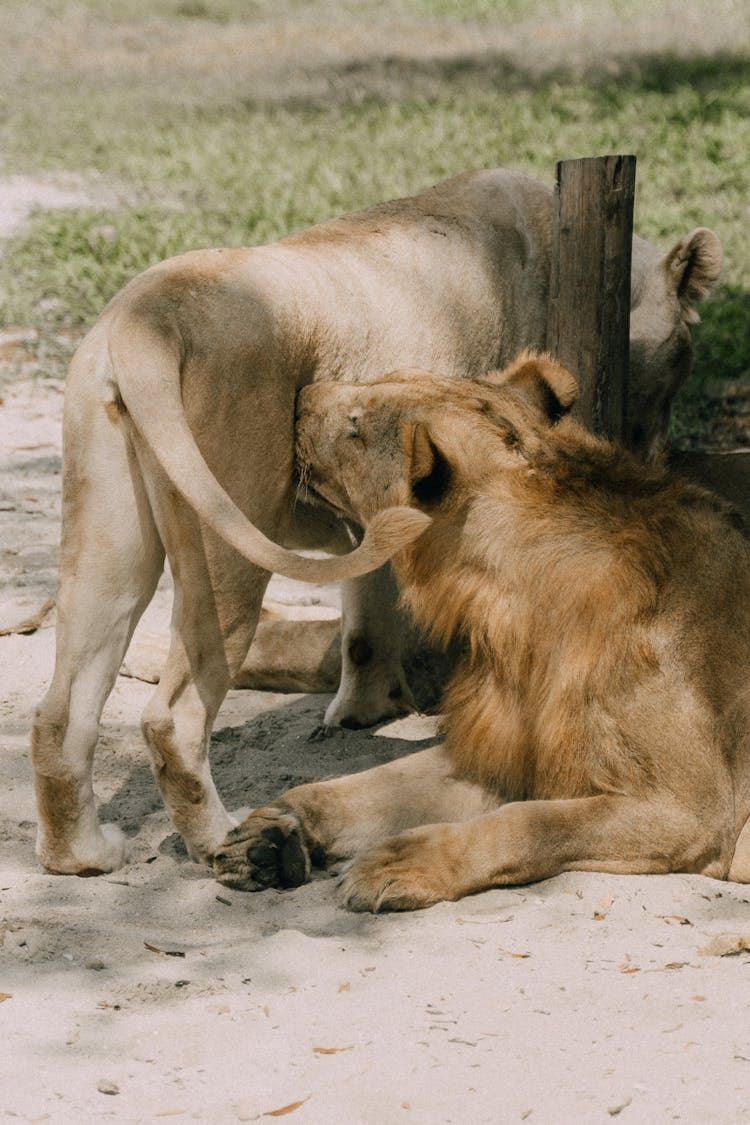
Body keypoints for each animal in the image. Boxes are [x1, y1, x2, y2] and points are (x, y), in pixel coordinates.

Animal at [33, 163, 719, 873]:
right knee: (174, 717)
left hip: (108, 538)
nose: (658, 453)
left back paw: (81, 855)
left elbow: (364, 617)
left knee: (60, 710)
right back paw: (227, 843)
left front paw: (363, 709)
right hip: (227, 531)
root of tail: (140, 322)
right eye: (682, 362)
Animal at [212, 355, 750, 909]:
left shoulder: (693, 809)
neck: (507, 607)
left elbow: (524, 824)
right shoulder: (509, 745)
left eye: (355, 426)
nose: (298, 398)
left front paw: (405, 862)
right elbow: (375, 784)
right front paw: (276, 831)